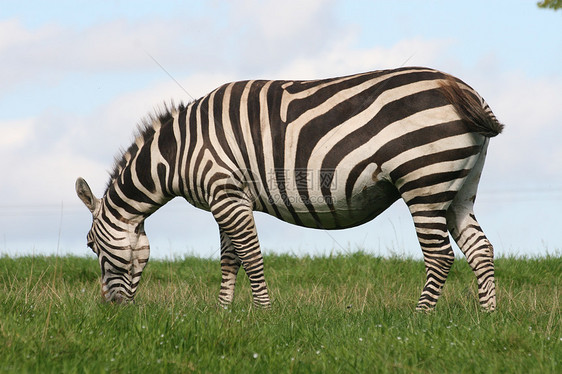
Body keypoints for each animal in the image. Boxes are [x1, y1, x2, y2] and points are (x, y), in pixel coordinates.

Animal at [74, 66, 498, 310]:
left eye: (92, 247)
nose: (110, 310)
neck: (178, 154)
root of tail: (459, 87)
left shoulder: (226, 193)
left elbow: (250, 255)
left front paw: (262, 315)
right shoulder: (227, 197)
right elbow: (230, 259)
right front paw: (223, 314)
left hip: (423, 181)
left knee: (440, 256)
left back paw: (419, 320)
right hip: (459, 187)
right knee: (481, 249)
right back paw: (486, 319)